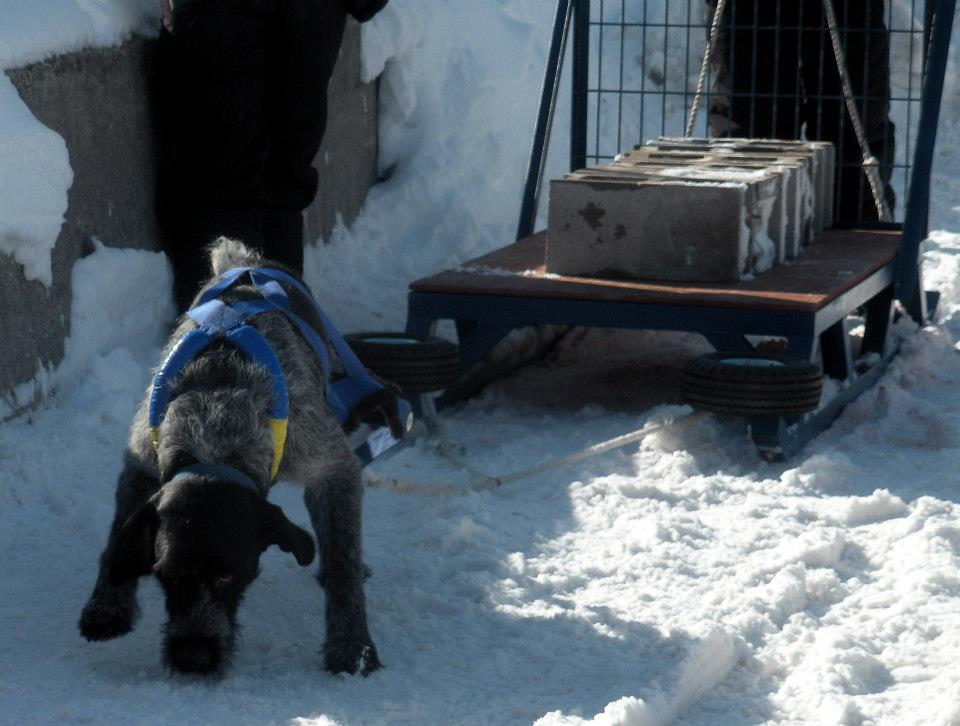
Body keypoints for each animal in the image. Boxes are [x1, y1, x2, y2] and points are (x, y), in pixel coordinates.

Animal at [78, 239, 394, 676]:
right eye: (166, 576)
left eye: (230, 577)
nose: (191, 658)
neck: (215, 428)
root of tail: (247, 260)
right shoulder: (141, 460)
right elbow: (117, 536)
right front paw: (107, 605)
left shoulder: (328, 460)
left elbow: (344, 556)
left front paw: (352, 646)